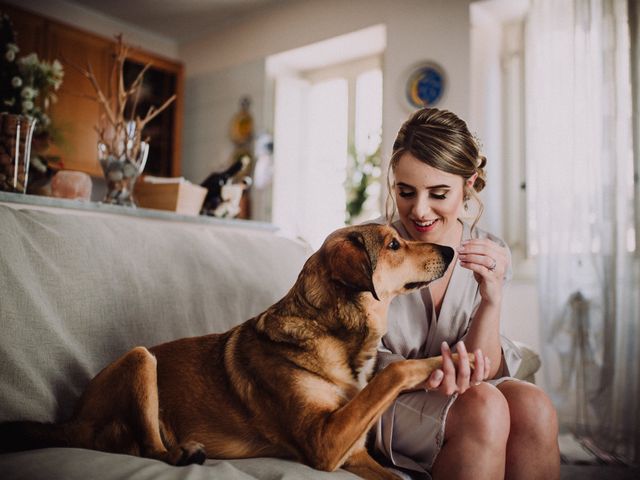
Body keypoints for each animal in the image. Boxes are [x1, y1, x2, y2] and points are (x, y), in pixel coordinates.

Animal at [0, 223, 470, 478]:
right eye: (393, 244)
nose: (451, 250)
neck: (335, 334)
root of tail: (70, 423)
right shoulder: (322, 443)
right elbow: (393, 372)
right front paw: (445, 362)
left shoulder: (353, 453)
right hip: (140, 357)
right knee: (148, 448)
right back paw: (180, 453)